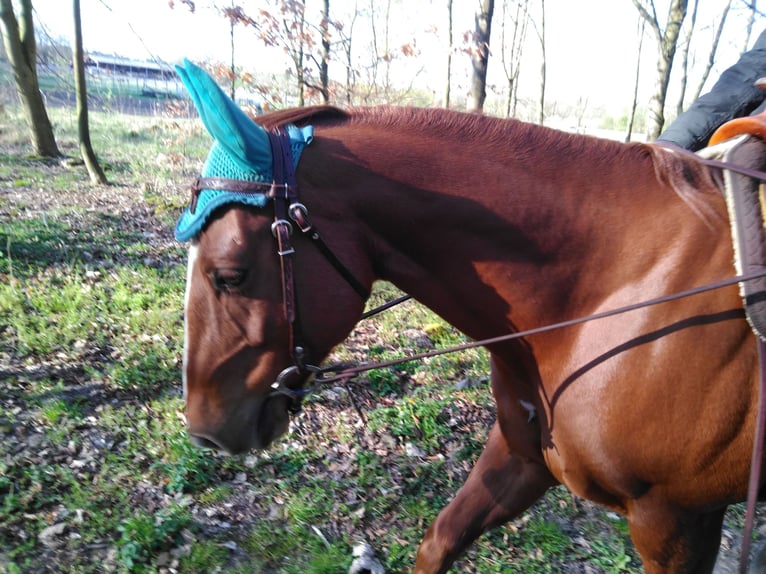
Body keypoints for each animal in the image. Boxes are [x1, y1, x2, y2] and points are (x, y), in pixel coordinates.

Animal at [174, 60, 764, 573]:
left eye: (230, 275)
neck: (599, 296)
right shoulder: (522, 457)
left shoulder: (675, 520)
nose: (204, 432)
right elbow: (440, 541)